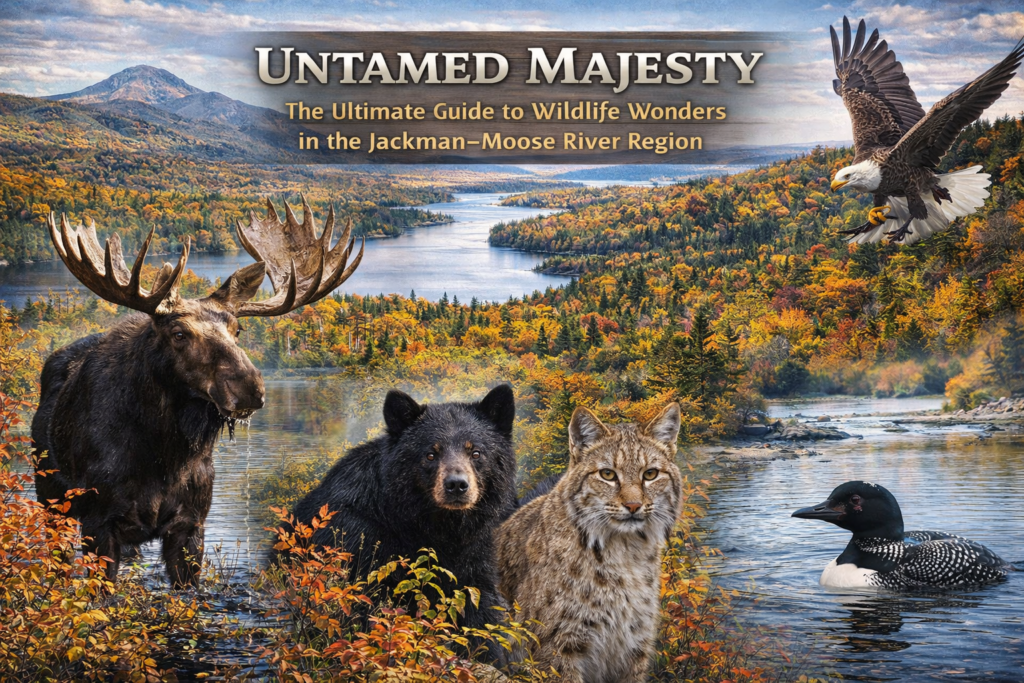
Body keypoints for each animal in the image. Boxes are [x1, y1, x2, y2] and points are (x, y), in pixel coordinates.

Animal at [31, 197, 363, 587]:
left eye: (237, 330)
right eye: (178, 333)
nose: (250, 389)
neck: (163, 455)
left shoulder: (191, 525)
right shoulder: (99, 522)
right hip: (50, 501)